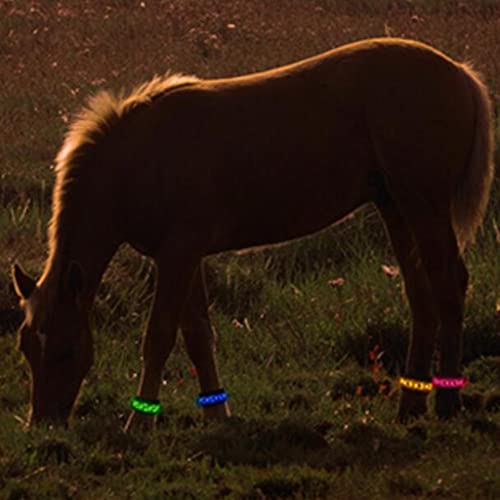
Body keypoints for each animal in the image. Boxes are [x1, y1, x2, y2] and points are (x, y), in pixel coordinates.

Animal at [12, 38, 496, 430]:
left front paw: (140, 421)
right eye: (26, 347)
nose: (45, 423)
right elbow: (197, 336)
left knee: (449, 287)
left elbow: (159, 336)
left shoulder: (179, 254)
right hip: (396, 209)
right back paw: (410, 405)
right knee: (422, 296)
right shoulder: (183, 257)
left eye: (65, 349)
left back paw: (448, 402)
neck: (136, 160)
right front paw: (216, 412)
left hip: (425, 207)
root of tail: (459, 73)